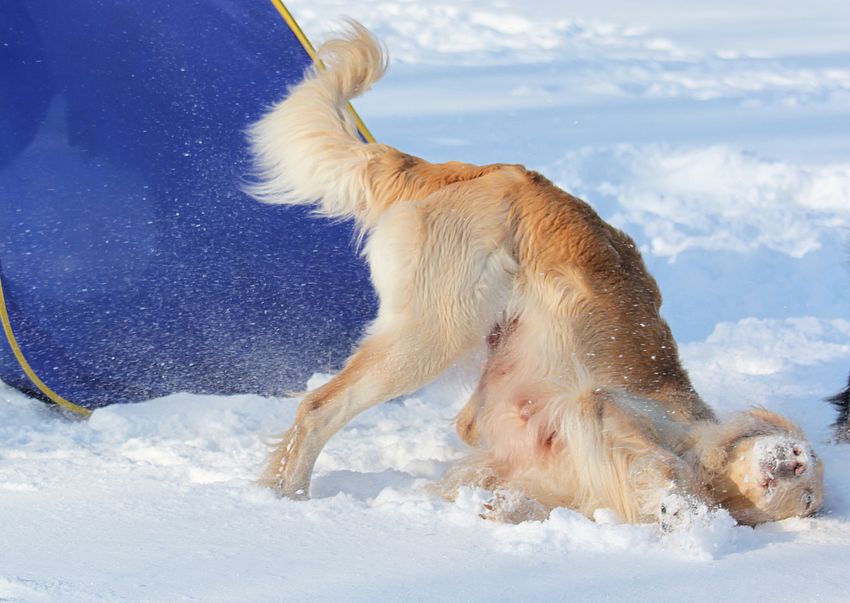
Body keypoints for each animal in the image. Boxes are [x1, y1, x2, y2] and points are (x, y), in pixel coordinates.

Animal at [246, 22, 824, 526]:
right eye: (804, 463)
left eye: (809, 492)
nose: (794, 459)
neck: (699, 450)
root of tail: (487, 171)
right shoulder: (606, 409)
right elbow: (657, 466)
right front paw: (679, 507)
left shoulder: (512, 467)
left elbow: (514, 491)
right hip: (433, 334)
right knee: (319, 406)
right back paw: (286, 497)